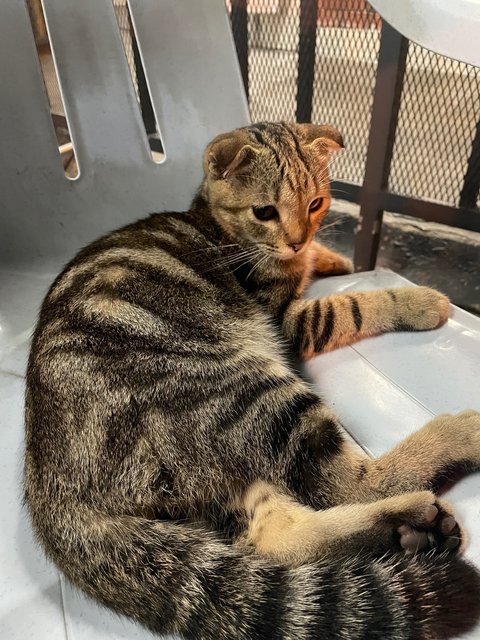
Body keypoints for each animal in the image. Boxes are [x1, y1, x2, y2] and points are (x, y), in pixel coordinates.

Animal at [24, 122, 480, 636]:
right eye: (265, 211)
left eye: (316, 204)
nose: (298, 240)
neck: (221, 229)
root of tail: (53, 495)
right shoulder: (286, 319)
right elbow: (348, 306)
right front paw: (416, 300)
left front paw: (332, 258)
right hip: (251, 393)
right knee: (348, 483)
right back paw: (453, 446)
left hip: (224, 478)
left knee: (277, 536)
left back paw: (407, 531)